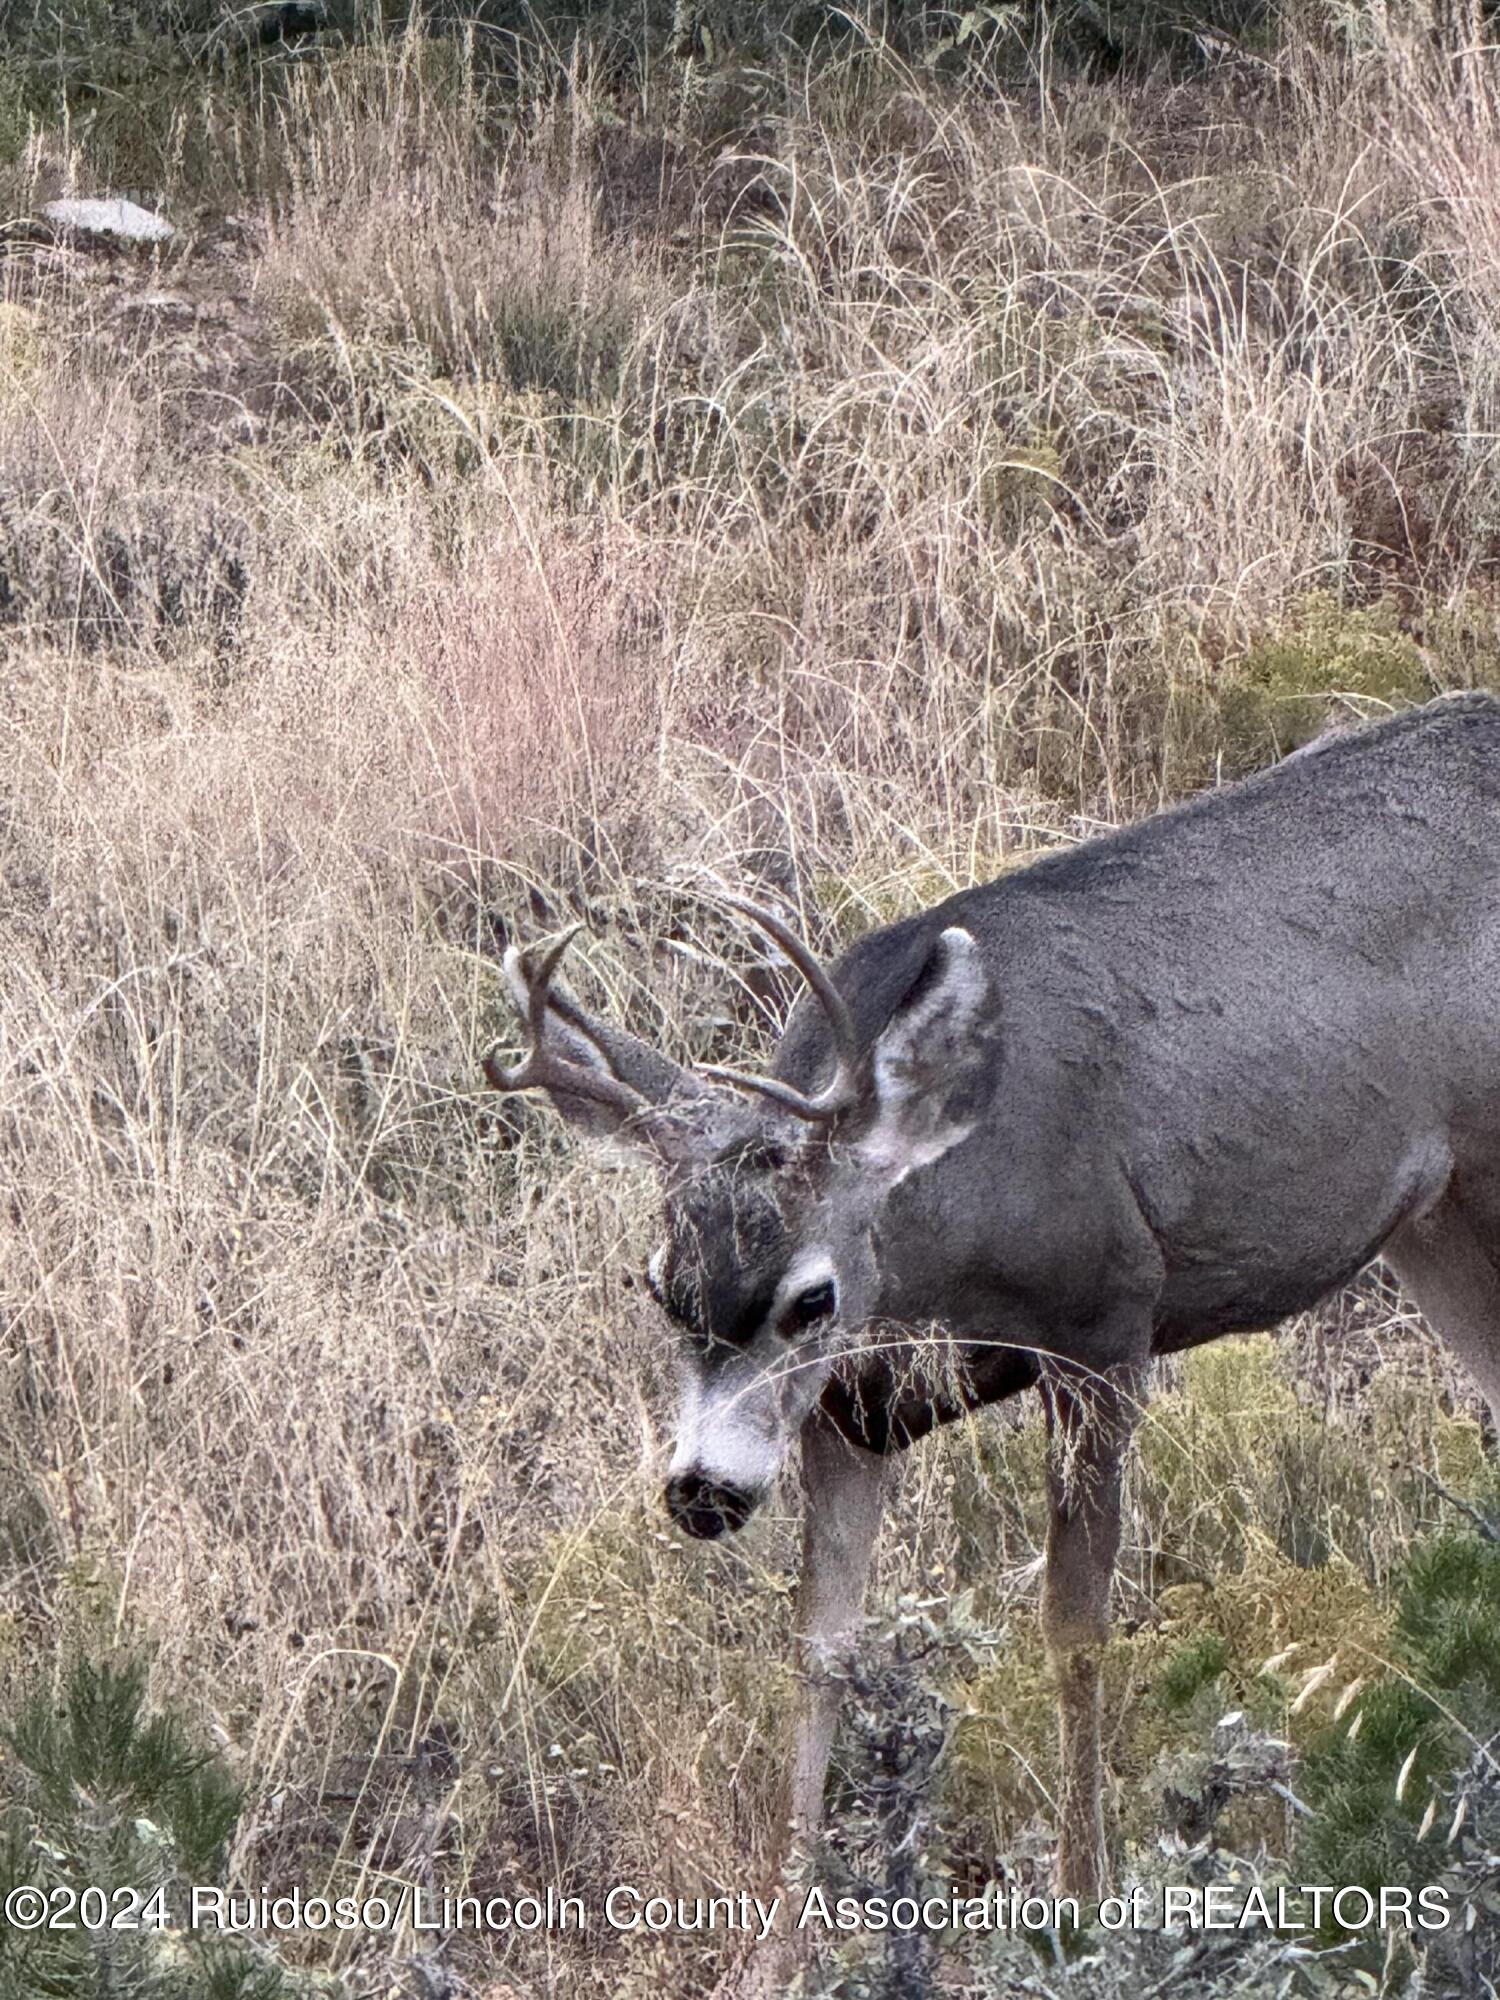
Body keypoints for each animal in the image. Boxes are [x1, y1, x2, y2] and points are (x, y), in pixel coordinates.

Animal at [482, 700, 1500, 1936]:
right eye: (655, 1282)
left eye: (813, 1296)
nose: (702, 1491)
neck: (951, 1218)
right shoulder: (850, 1417)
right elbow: (820, 1645)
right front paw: (779, 1945)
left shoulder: (1107, 1317)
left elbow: (1075, 1623)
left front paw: (1081, 1906)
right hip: (1434, 1214)